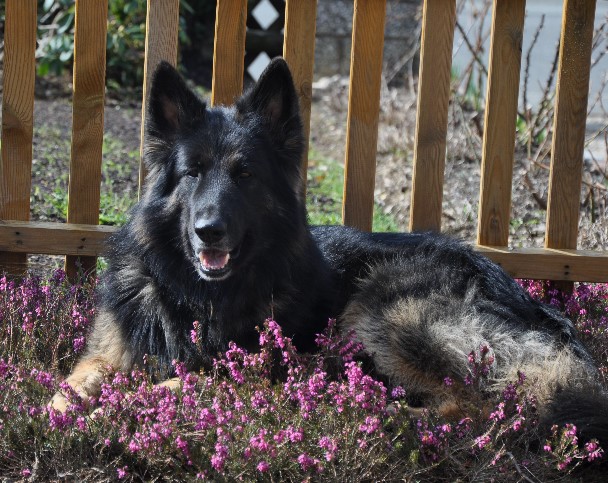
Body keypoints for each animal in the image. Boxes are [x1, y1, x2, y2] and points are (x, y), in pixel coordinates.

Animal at [52, 57, 608, 450]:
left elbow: (163, 385)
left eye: (245, 174)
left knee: (479, 407)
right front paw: (64, 414)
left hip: (391, 308)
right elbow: (68, 387)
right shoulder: (106, 352)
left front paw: (113, 413)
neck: (195, 294)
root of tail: (534, 305)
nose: (209, 232)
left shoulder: (237, 367)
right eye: (193, 172)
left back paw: (372, 414)